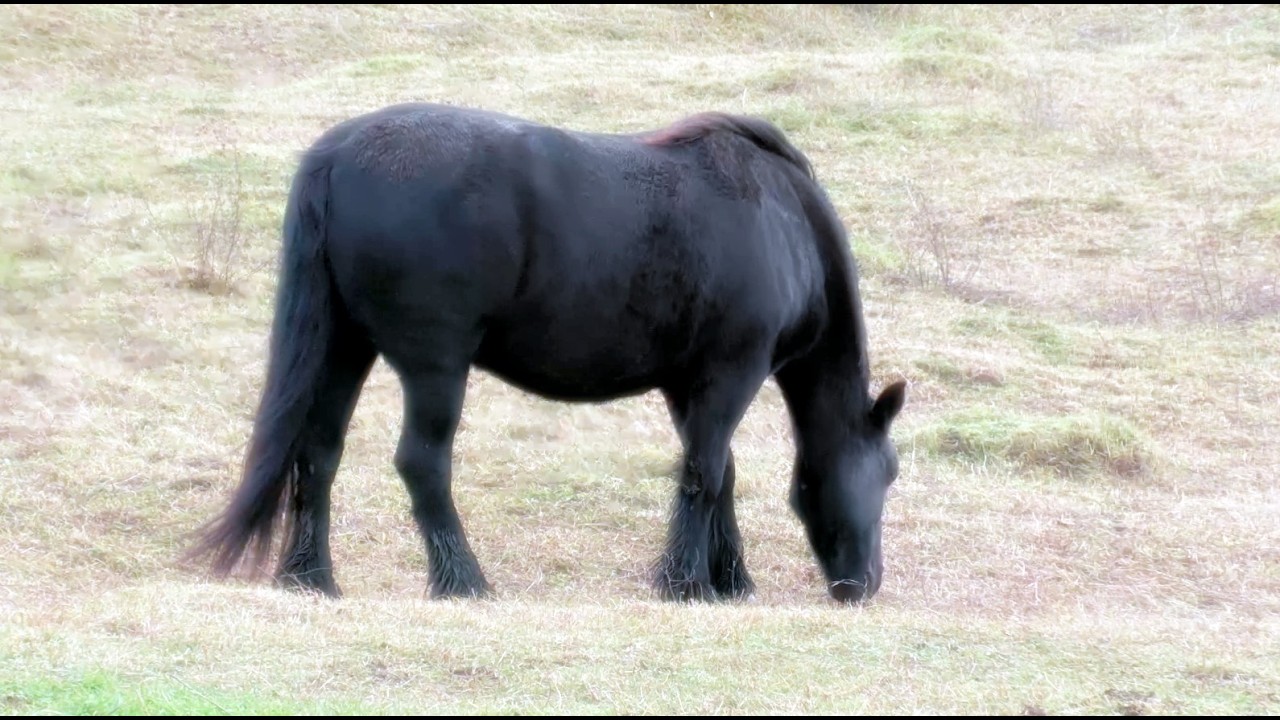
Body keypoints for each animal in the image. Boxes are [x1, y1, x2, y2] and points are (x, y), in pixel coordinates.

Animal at [187, 102, 907, 605]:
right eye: (891, 472)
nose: (862, 585)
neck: (783, 224)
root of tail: (338, 153)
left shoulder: (689, 385)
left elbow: (718, 475)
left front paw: (729, 580)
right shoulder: (731, 374)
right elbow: (704, 474)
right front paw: (688, 584)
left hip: (344, 348)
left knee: (317, 456)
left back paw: (310, 578)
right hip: (435, 367)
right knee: (422, 463)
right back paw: (464, 582)